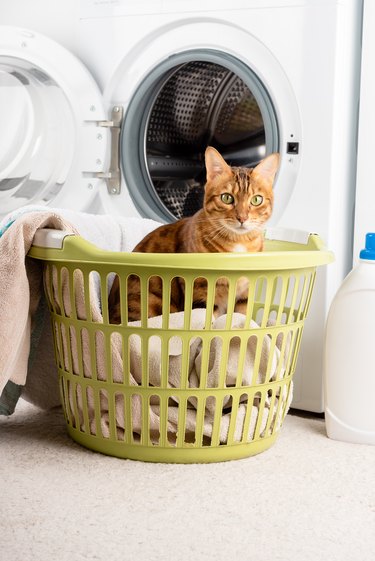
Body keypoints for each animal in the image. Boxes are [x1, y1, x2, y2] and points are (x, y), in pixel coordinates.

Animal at [108, 145, 280, 324]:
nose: (242, 218)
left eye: (256, 200)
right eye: (226, 198)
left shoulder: (244, 294)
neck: (238, 243)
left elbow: (241, 317)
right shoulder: (201, 289)